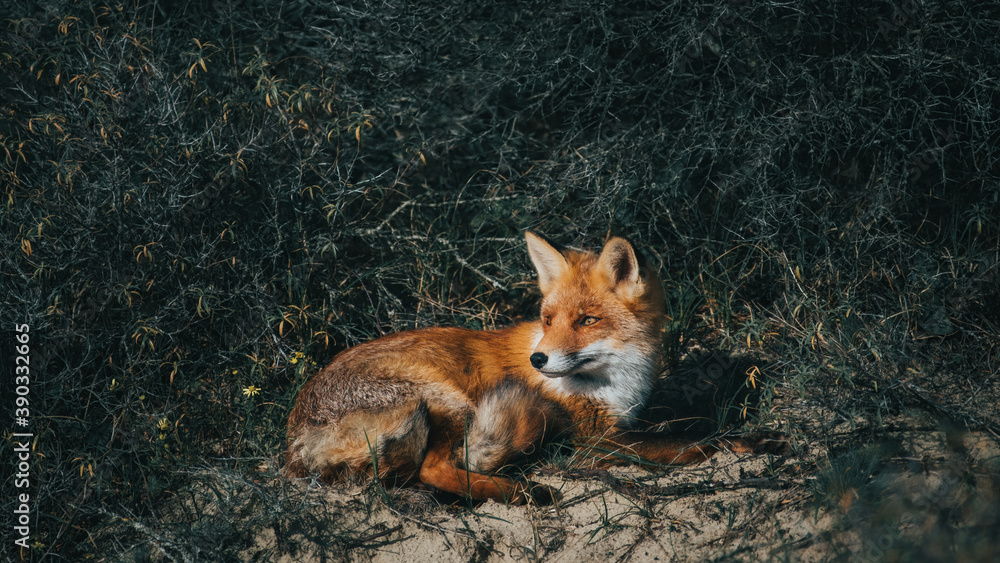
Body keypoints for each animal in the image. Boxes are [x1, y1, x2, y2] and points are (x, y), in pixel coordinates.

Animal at [284, 232, 789, 504]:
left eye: (586, 321)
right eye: (548, 319)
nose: (539, 359)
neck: (617, 381)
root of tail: (294, 443)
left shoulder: (625, 420)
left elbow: (691, 423)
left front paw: (755, 438)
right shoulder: (596, 440)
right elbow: (693, 439)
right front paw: (733, 445)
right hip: (446, 401)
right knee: (434, 469)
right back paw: (523, 493)